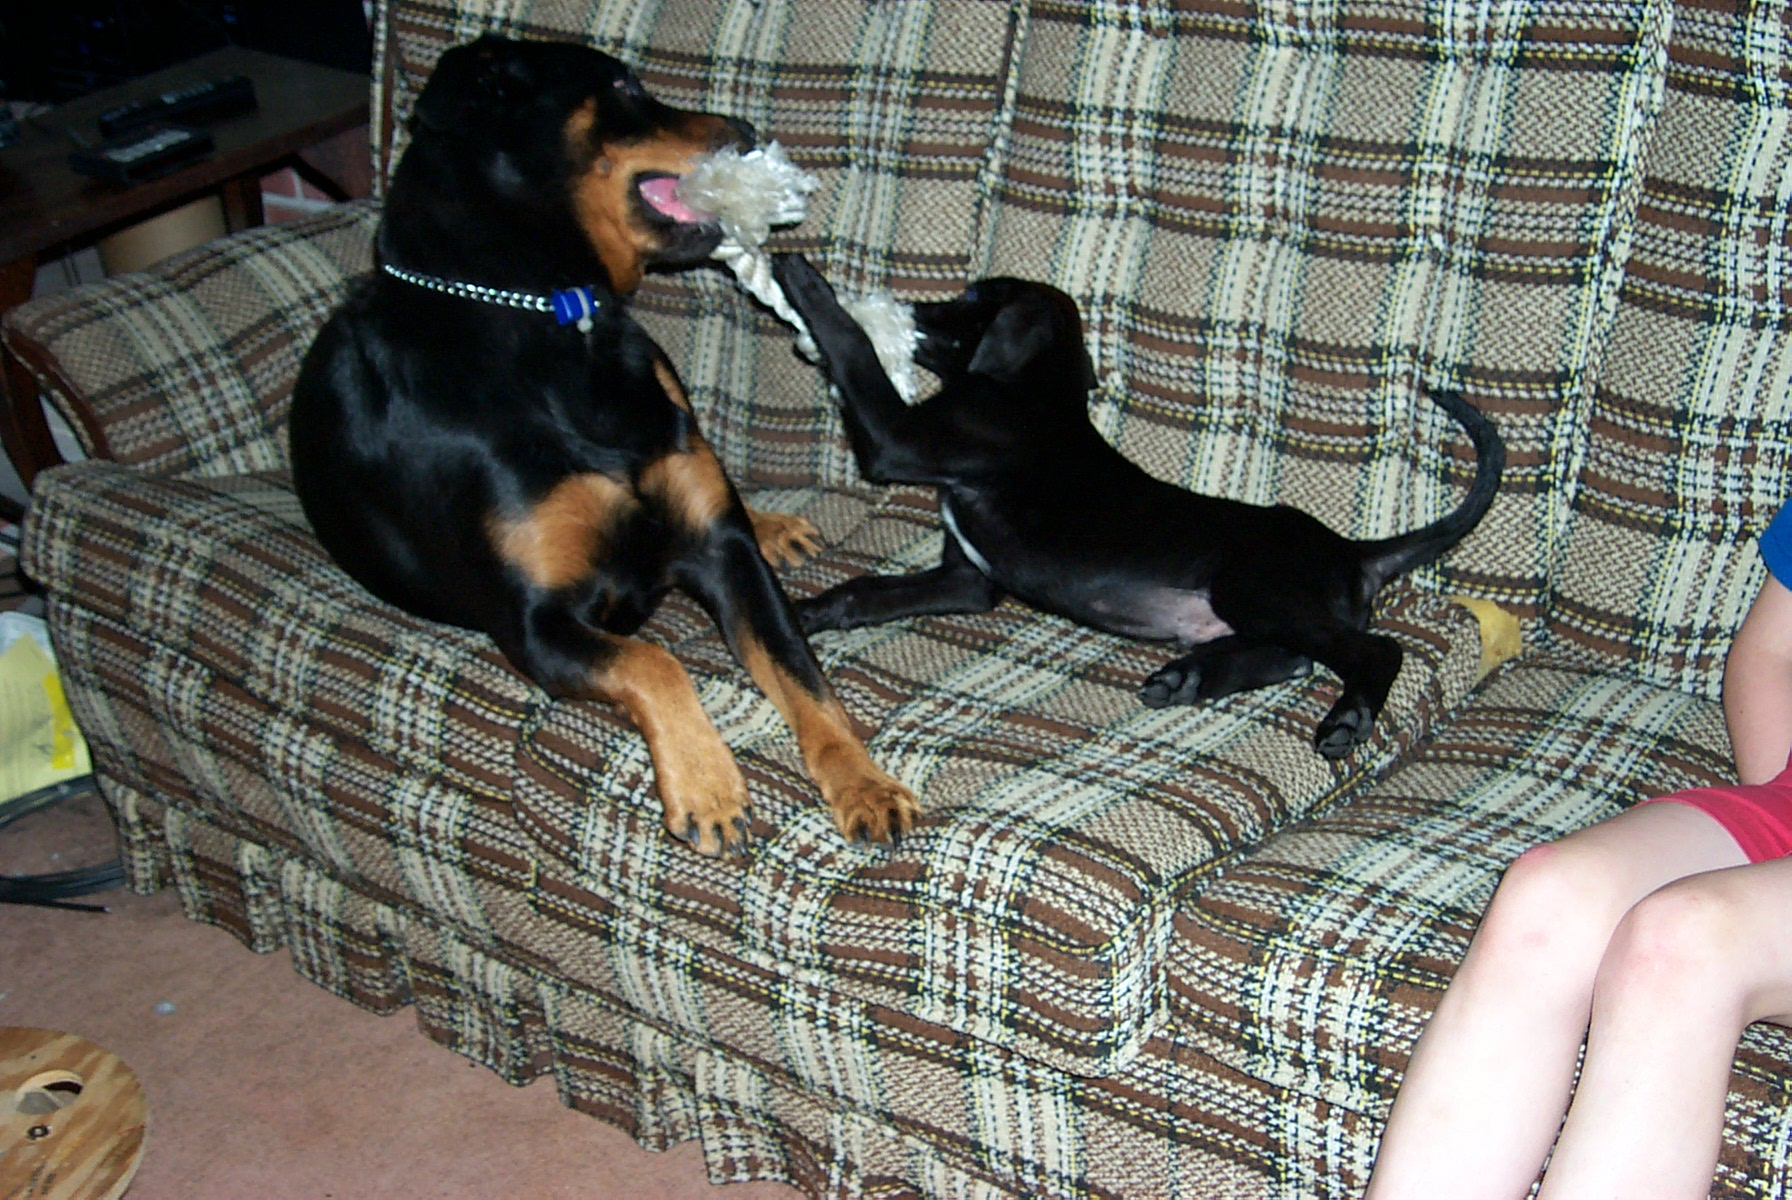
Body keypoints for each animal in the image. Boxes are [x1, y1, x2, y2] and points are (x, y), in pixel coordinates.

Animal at [290, 37, 917, 853]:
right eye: (621, 85)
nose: (747, 131)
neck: (550, 316)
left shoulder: (725, 553)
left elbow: (804, 675)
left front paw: (866, 784)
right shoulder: (529, 619)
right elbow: (652, 660)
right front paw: (707, 784)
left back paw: (776, 524)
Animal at [770, 253, 1505, 758]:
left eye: (973, 298)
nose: (914, 309)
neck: (1031, 388)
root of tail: (1354, 552)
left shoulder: (896, 441)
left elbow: (852, 353)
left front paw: (807, 284)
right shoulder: (968, 580)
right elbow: (863, 591)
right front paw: (800, 615)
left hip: (1256, 587)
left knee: (1371, 651)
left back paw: (1344, 719)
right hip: (1257, 606)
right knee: (1293, 656)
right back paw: (1187, 678)